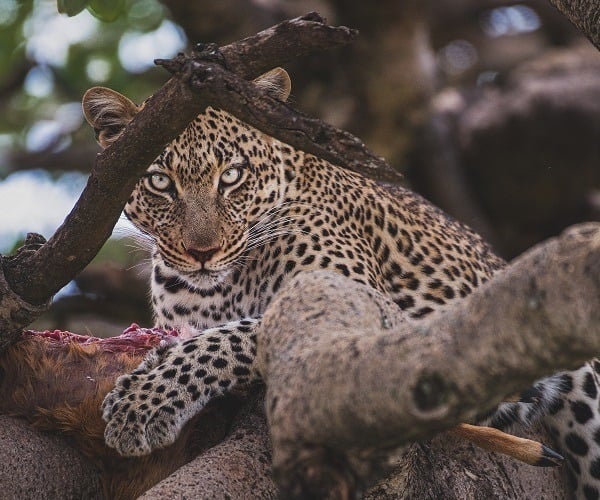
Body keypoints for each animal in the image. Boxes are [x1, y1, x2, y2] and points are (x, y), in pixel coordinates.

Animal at [83, 67, 600, 500]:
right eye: (159, 181)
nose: (201, 251)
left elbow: (224, 339)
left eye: (231, 176)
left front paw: (142, 402)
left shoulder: (372, 311)